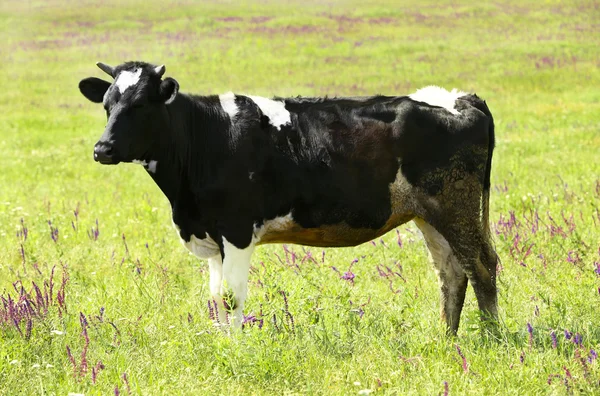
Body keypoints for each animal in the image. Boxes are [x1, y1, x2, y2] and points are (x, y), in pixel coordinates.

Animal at [81, 61, 502, 334]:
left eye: (140, 104)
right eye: (106, 105)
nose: (102, 149)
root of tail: (461, 98)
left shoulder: (236, 231)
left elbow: (231, 298)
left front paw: (236, 350)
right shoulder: (212, 237)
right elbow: (215, 299)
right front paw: (222, 345)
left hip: (455, 205)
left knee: (481, 267)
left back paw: (491, 338)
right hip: (429, 214)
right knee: (451, 272)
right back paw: (446, 339)